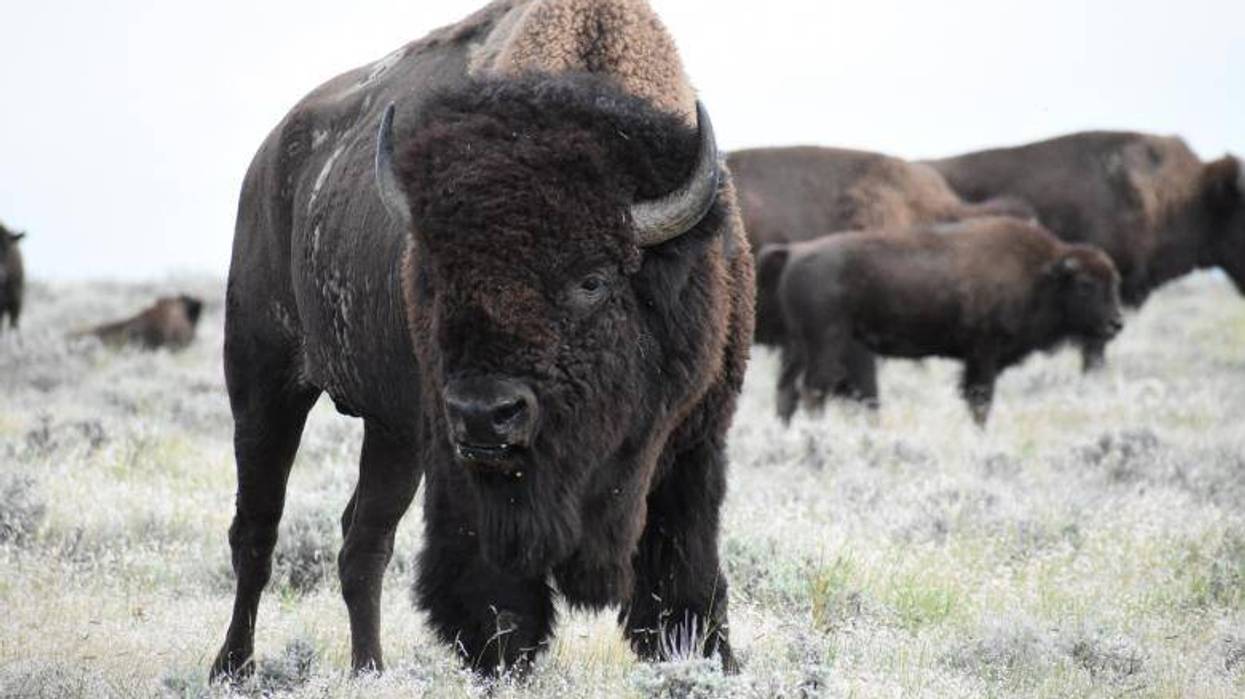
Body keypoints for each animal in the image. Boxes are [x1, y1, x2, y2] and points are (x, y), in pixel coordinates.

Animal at [212, 0, 752, 681]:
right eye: (441, 276)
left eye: (592, 280)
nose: (484, 413)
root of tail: (267, 161)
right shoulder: (463, 471)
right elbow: (495, 593)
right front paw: (501, 660)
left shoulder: (692, 445)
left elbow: (686, 579)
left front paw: (709, 657)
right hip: (264, 381)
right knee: (257, 530)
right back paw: (232, 666)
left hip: (392, 433)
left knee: (362, 541)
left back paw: (369, 669)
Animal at [763, 217, 1123, 425]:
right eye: (1086, 284)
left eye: (1114, 281)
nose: (1116, 324)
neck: (1040, 273)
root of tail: (796, 251)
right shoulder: (984, 354)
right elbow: (981, 400)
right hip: (827, 344)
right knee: (813, 390)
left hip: (797, 346)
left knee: (786, 391)